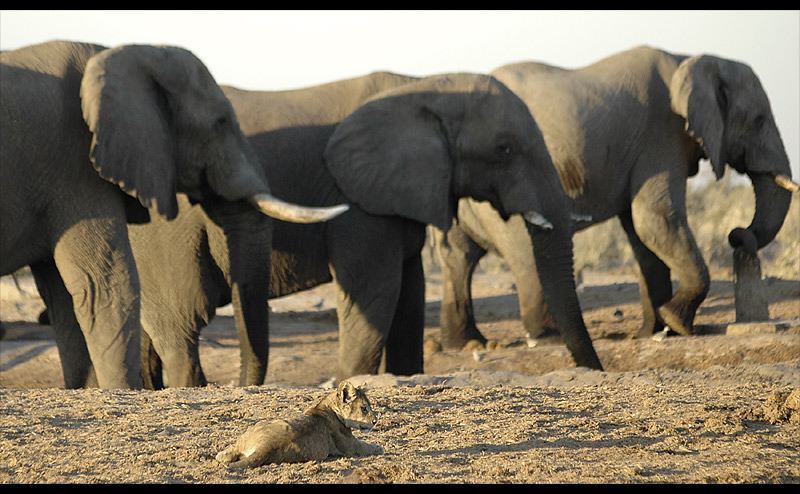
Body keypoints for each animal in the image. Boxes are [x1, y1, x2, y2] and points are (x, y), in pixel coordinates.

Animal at [2, 41, 346, 390]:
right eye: (221, 121)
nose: (238, 384)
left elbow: (63, 295)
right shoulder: (76, 168)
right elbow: (107, 284)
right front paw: (122, 391)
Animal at [136, 68, 600, 386]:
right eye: (503, 150)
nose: (595, 369)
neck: (425, 86)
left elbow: (410, 293)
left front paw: (403, 376)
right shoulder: (360, 201)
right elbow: (375, 290)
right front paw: (350, 386)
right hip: (163, 230)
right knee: (182, 323)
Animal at [434, 44, 796, 350]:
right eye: (758, 120)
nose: (738, 234)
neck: (690, 58)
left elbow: (642, 235)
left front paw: (655, 330)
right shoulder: (661, 134)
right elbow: (654, 220)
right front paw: (677, 324)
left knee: (459, 256)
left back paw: (467, 345)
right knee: (523, 252)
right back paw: (548, 339)